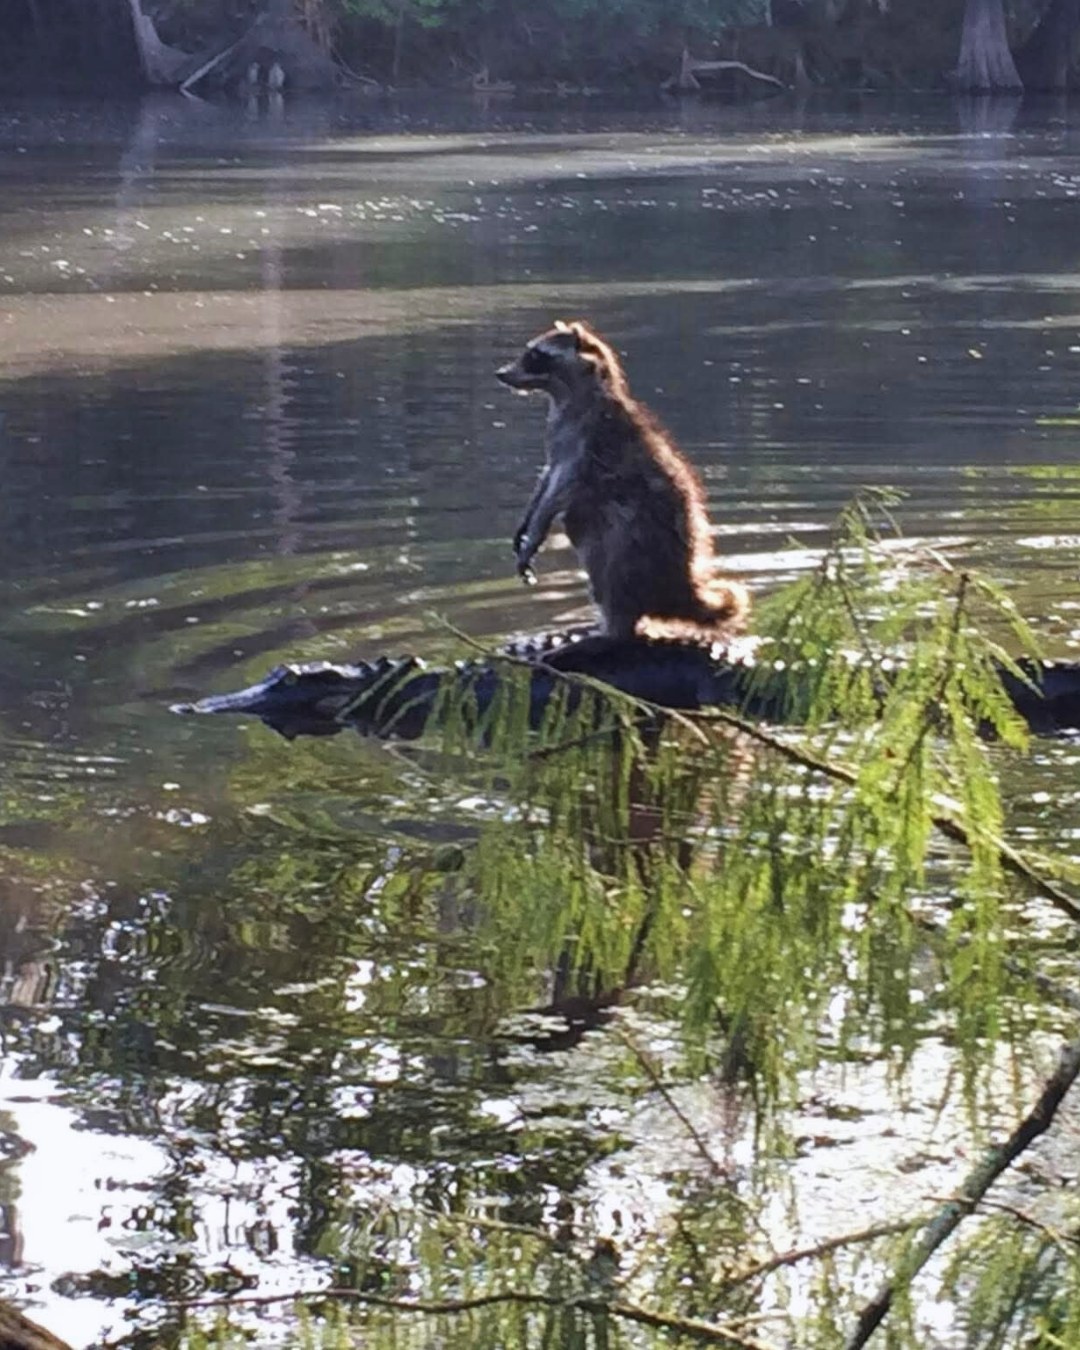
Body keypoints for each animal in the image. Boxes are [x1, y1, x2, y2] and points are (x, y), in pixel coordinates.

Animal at [496, 319, 749, 640]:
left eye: (535, 355)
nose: (500, 374)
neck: (567, 396)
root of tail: (680, 590)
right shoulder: (558, 437)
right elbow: (547, 477)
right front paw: (526, 522)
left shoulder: (588, 441)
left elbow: (560, 488)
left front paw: (536, 532)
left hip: (637, 543)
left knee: (613, 559)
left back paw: (612, 627)